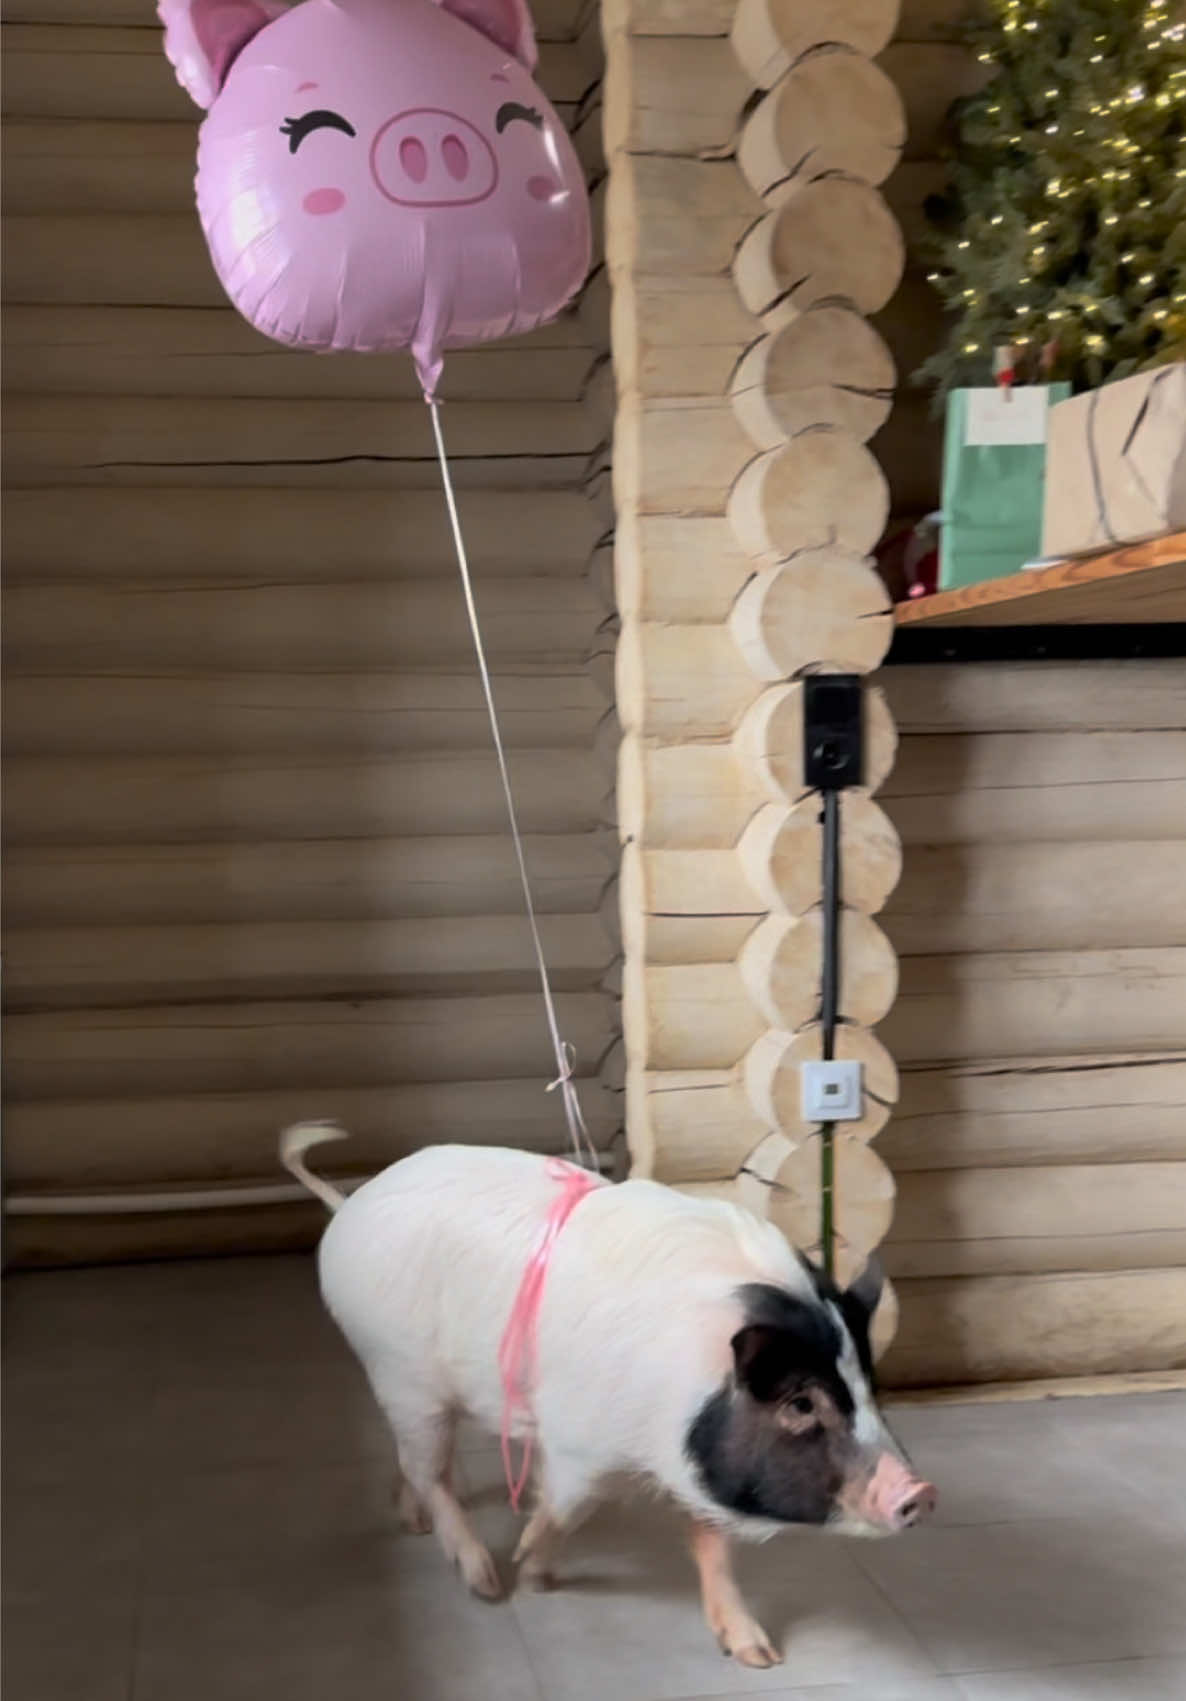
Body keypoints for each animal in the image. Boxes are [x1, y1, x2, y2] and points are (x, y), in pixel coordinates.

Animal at [282, 1125, 935, 1669]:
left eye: (868, 1384)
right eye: (801, 1403)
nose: (920, 1493)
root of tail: (350, 1206)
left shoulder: (696, 1459)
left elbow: (712, 1546)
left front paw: (758, 1657)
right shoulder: (576, 1444)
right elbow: (569, 1508)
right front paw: (532, 1573)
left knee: (415, 1466)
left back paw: (416, 1526)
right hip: (401, 1374)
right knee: (433, 1474)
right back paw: (484, 1583)